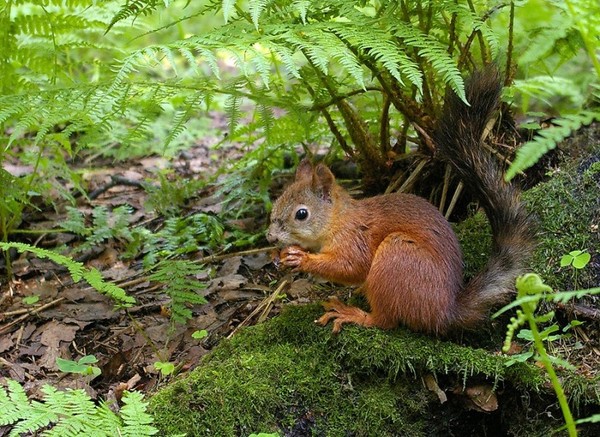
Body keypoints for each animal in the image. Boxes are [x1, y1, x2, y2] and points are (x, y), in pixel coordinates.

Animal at [266, 69, 536, 334]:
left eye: (301, 214)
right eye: (276, 204)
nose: (270, 237)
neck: (339, 220)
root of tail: (443, 312)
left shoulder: (355, 239)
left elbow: (351, 266)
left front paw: (303, 259)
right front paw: (278, 255)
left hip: (397, 257)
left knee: (385, 321)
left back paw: (352, 313)